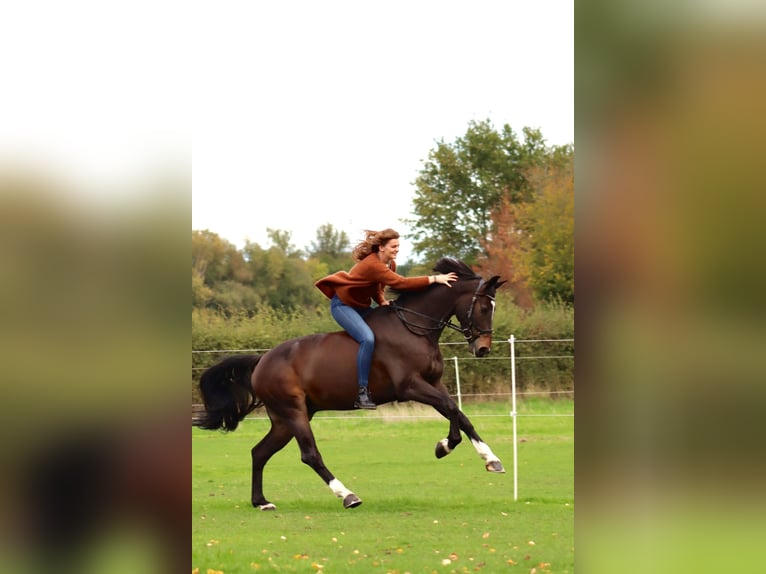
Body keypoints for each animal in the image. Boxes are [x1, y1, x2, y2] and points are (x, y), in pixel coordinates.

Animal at [192, 258, 508, 510]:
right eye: (483, 307)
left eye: (493, 307)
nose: (483, 349)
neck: (414, 328)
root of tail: (262, 361)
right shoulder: (411, 386)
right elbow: (451, 409)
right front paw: (447, 447)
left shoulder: (434, 382)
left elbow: (460, 415)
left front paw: (486, 457)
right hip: (293, 412)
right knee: (309, 455)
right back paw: (347, 495)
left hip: (285, 419)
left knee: (259, 452)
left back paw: (261, 501)